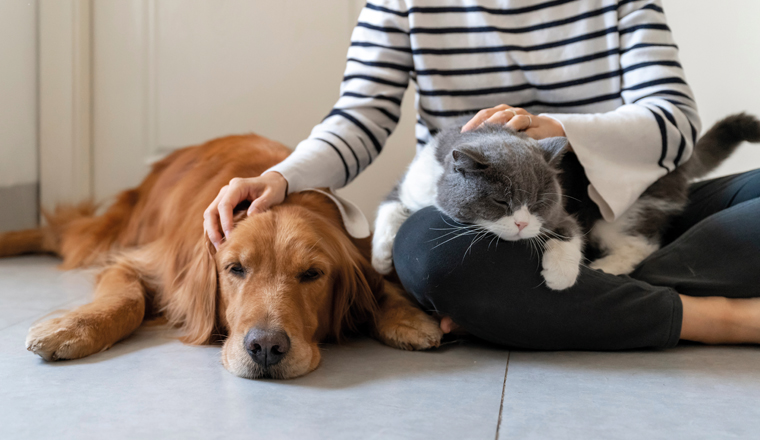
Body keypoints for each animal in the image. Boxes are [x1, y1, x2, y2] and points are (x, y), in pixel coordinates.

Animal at [0, 134, 442, 378]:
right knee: (59, 232)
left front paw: (408, 318)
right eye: (236, 269)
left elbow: (382, 284)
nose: (266, 348)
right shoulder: (141, 263)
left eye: (312, 274)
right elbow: (126, 300)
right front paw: (70, 328)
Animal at [374, 115, 760, 290]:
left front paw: (559, 276)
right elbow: (389, 207)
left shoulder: (564, 212)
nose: (521, 224)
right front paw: (379, 259)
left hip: (622, 210)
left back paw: (607, 267)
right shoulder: (409, 184)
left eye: (538, 203)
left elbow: (569, 232)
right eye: (500, 201)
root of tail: (681, 155)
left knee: (641, 243)